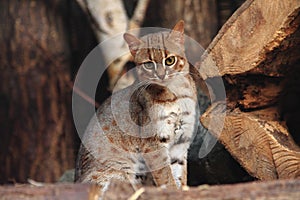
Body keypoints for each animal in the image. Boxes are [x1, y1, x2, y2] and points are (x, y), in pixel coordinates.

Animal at [75, 20, 200, 192]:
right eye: (148, 65)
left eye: (170, 60)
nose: (161, 75)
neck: (176, 95)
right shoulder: (153, 143)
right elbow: (166, 176)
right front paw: (173, 191)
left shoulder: (181, 141)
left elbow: (180, 174)